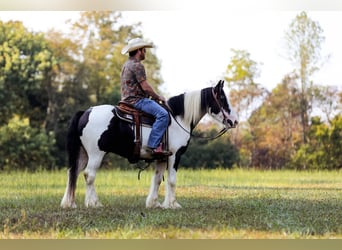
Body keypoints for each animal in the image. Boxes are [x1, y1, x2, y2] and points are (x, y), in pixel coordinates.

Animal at [60, 80, 238, 209]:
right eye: (222, 99)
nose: (235, 121)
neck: (178, 118)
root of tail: (86, 112)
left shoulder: (162, 158)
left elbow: (157, 179)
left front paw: (154, 203)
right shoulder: (175, 156)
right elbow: (172, 180)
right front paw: (173, 204)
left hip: (83, 153)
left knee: (73, 173)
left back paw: (70, 203)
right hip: (96, 153)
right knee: (89, 175)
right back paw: (94, 203)